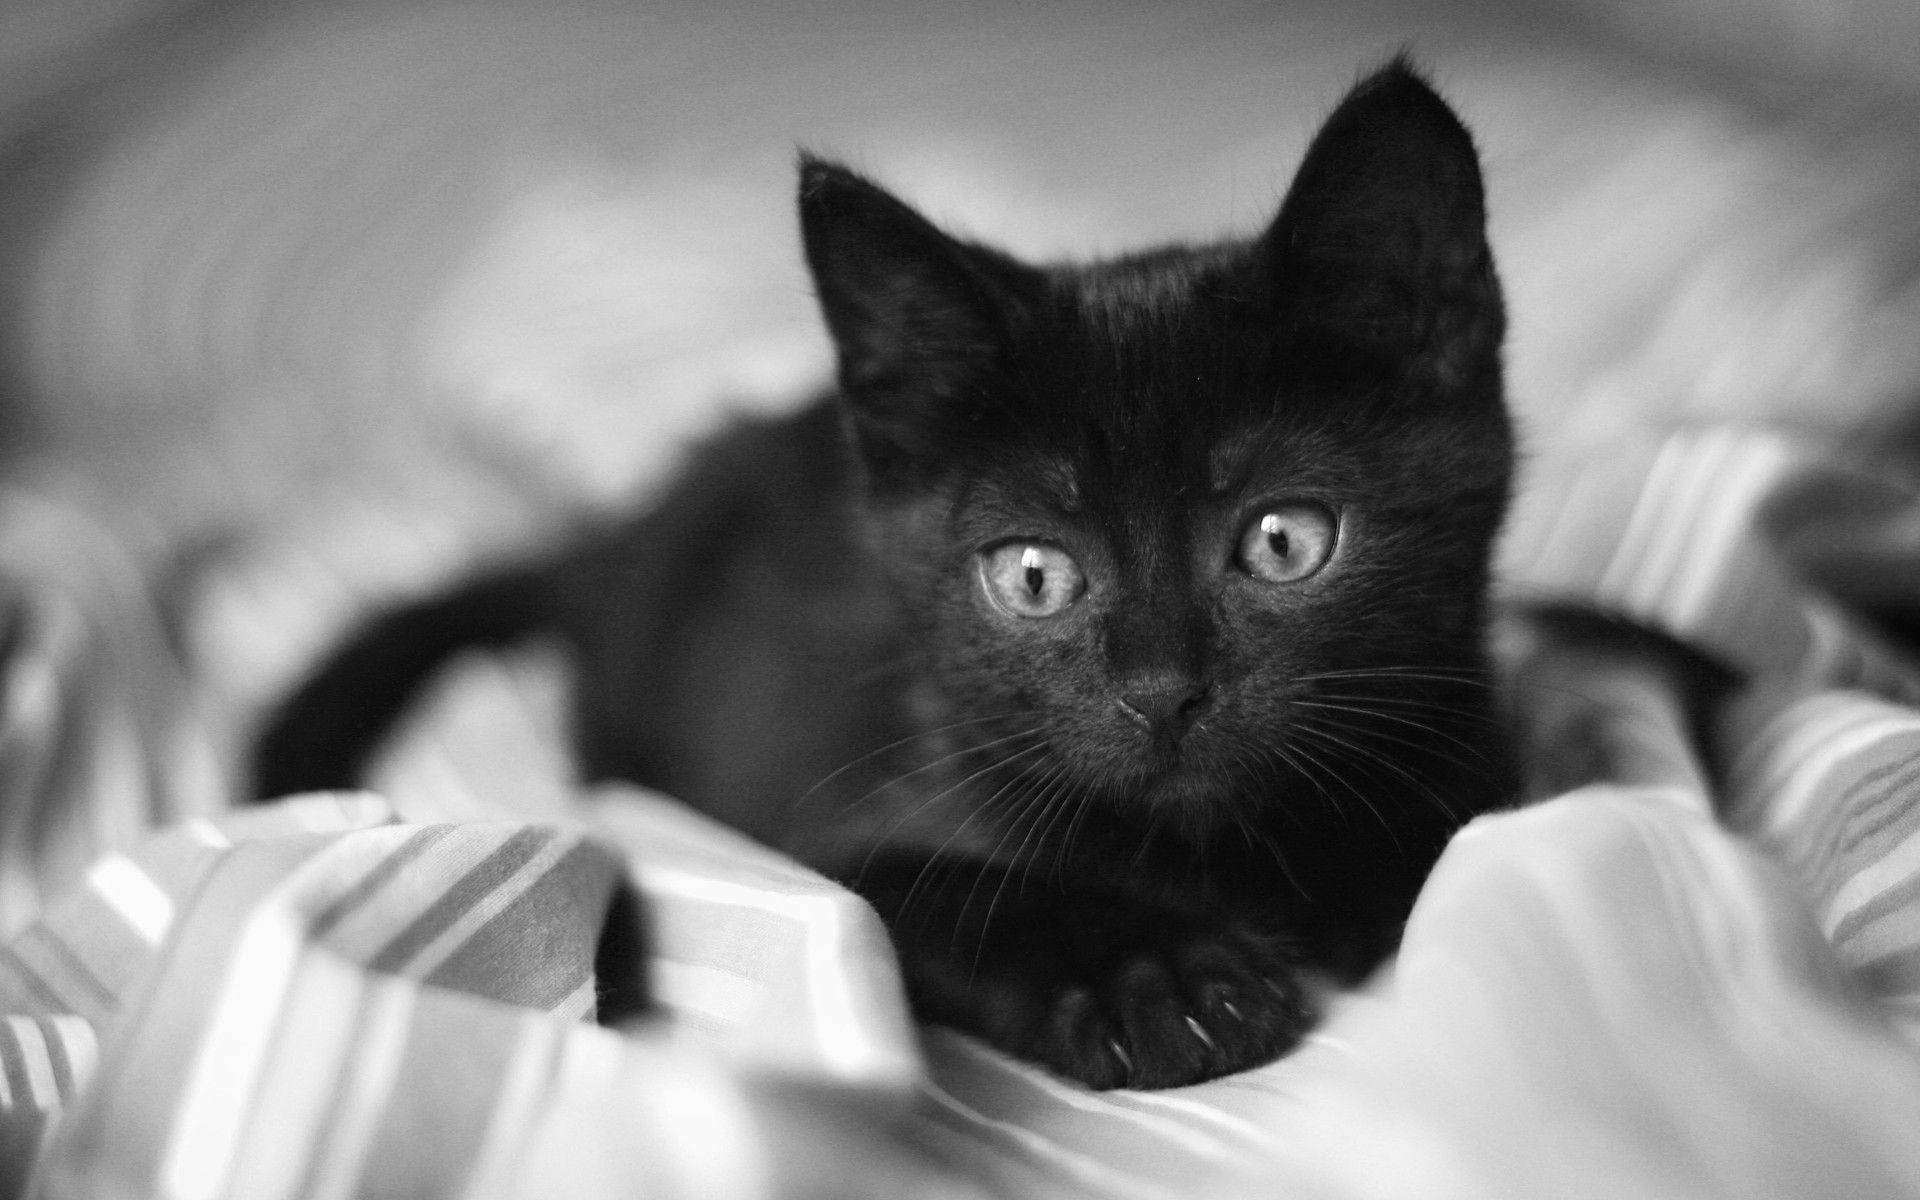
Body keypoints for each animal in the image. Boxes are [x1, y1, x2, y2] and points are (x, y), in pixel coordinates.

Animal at [255, 58, 1512, 1082]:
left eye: (1284, 540)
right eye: (1034, 576)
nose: (1161, 692)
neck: (1217, 854)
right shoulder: (805, 828)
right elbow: (938, 889)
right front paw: (1153, 979)